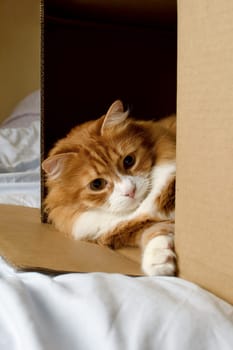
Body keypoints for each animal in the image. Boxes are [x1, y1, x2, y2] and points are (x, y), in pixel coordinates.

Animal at [42, 100, 176, 274]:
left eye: (129, 161)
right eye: (97, 184)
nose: (130, 191)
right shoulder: (141, 226)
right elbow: (155, 231)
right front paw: (158, 263)